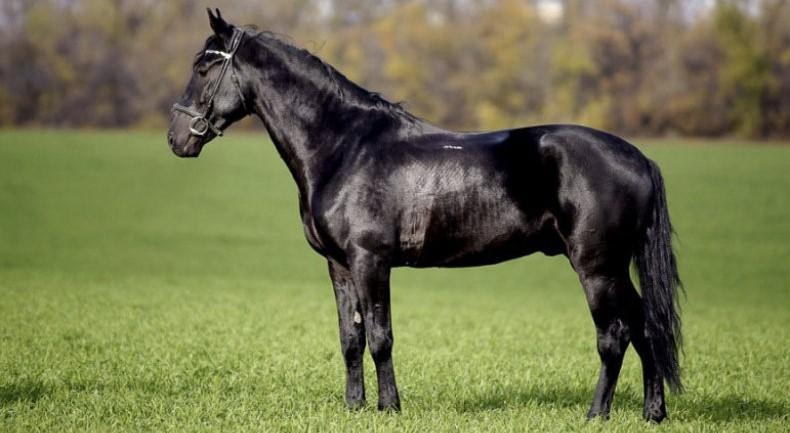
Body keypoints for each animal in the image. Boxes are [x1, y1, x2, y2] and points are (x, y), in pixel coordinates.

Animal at [168, 9, 682, 423]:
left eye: (203, 67)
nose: (177, 138)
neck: (345, 146)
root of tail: (639, 158)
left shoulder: (371, 261)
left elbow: (380, 337)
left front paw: (389, 407)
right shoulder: (338, 265)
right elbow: (350, 338)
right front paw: (354, 407)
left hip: (597, 267)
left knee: (614, 335)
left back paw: (596, 414)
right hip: (616, 268)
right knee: (646, 326)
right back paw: (652, 413)